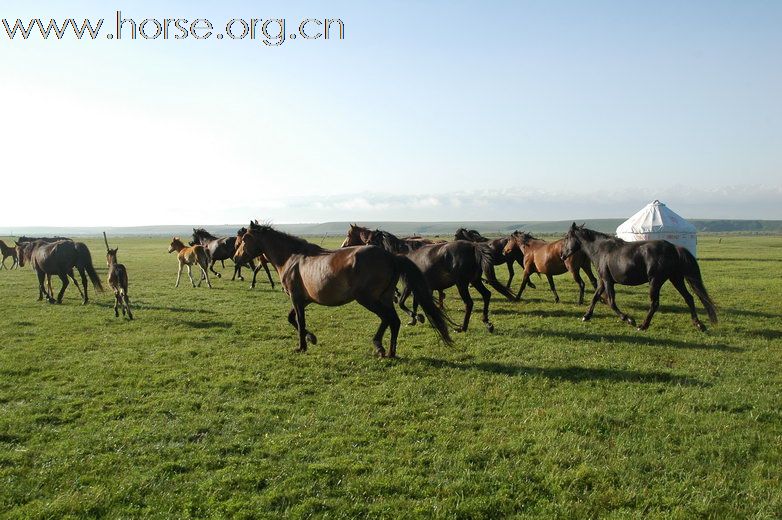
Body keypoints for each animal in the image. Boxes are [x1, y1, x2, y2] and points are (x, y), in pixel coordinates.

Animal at [234, 219, 454, 358]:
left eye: (244, 239)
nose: (236, 258)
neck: (292, 257)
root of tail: (391, 257)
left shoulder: (296, 299)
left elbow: (299, 321)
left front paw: (302, 345)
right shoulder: (304, 300)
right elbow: (292, 319)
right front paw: (311, 338)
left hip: (367, 299)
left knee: (388, 319)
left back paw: (380, 347)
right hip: (384, 298)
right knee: (394, 321)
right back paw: (390, 351)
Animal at [370, 231, 516, 334]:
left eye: (372, 241)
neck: (407, 255)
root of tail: (474, 246)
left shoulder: (408, 285)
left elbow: (401, 303)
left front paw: (417, 317)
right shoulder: (418, 287)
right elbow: (415, 303)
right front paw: (415, 320)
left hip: (462, 284)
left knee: (469, 303)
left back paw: (462, 328)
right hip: (475, 281)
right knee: (486, 295)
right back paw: (487, 323)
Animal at [560, 222, 720, 330]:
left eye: (567, 237)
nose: (562, 255)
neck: (601, 250)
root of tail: (674, 248)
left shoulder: (607, 281)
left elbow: (611, 302)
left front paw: (629, 319)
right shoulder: (602, 281)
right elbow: (595, 297)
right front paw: (586, 316)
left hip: (655, 281)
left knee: (655, 303)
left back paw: (643, 325)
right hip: (676, 279)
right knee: (689, 298)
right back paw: (698, 324)